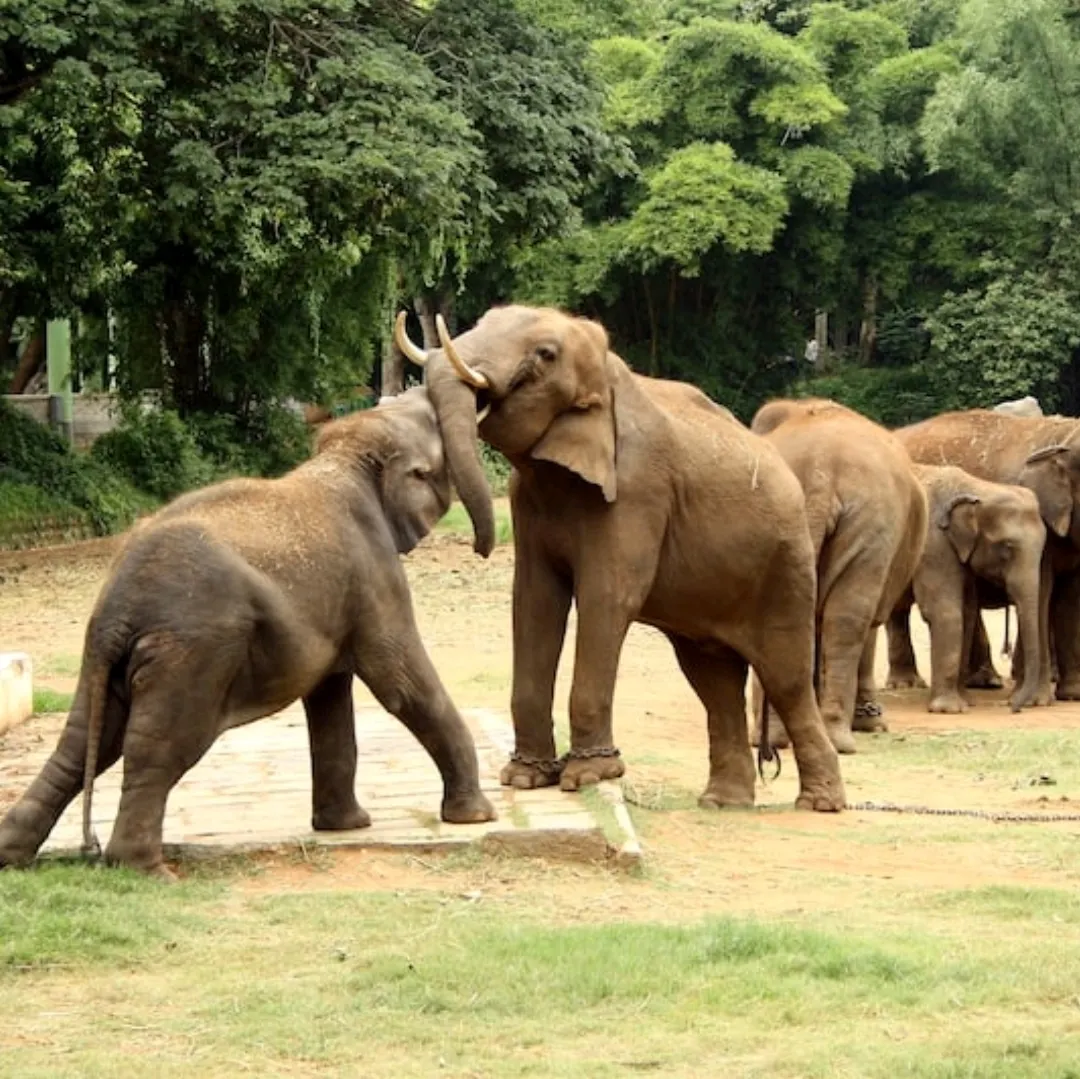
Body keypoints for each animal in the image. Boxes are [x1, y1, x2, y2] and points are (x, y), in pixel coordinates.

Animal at [0, 388, 496, 878]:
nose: (481, 549)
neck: (344, 455)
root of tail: (118, 609)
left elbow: (329, 696)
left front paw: (346, 827)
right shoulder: (374, 575)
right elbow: (399, 682)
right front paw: (476, 817)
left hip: (103, 654)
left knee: (84, 741)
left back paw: (13, 856)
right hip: (194, 650)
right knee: (160, 746)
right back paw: (145, 870)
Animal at [394, 305, 846, 812]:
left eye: (545, 355)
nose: (478, 548)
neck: (606, 375)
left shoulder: (637, 490)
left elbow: (606, 599)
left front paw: (588, 776)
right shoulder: (527, 498)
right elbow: (534, 601)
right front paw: (526, 778)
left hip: (786, 566)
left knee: (784, 676)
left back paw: (819, 804)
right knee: (713, 681)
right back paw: (722, 803)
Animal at [748, 398, 928, 752]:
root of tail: (820, 474)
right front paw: (872, 724)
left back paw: (777, 738)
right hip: (873, 523)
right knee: (850, 618)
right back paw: (837, 739)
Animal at [885, 464, 1050, 713]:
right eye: (1007, 547)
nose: (1013, 707)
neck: (977, 487)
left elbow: (968, 612)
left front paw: (966, 702)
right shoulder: (933, 543)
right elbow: (945, 611)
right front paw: (949, 709)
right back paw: (901, 685)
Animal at [895, 409, 1080, 699]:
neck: (1063, 435)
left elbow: (1068, 600)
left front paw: (1072, 695)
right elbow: (1044, 591)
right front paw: (1038, 698)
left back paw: (985, 681)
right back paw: (906, 684)